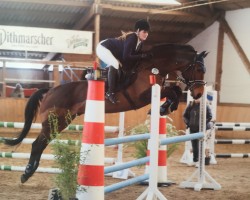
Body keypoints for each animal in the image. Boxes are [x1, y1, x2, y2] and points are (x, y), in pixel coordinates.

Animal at [3, 43, 208, 183]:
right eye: (199, 68)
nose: (199, 93)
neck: (153, 66)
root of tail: (50, 90)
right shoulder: (141, 96)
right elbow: (171, 91)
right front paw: (164, 107)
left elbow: (174, 91)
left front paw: (165, 108)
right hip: (54, 122)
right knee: (37, 144)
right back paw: (27, 173)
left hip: (62, 121)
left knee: (41, 144)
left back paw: (29, 171)